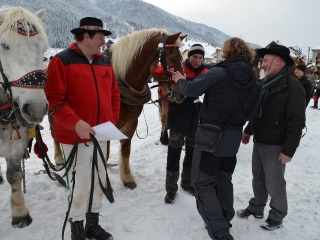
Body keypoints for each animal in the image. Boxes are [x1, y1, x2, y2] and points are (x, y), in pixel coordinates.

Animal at [51, 28, 186, 189]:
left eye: (181, 59)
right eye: (173, 59)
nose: (182, 94)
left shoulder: (131, 122)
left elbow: (126, 149)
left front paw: (127, 177)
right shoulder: (108, 124)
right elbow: (105, 153)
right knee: (55, 133)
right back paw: (59, 157)